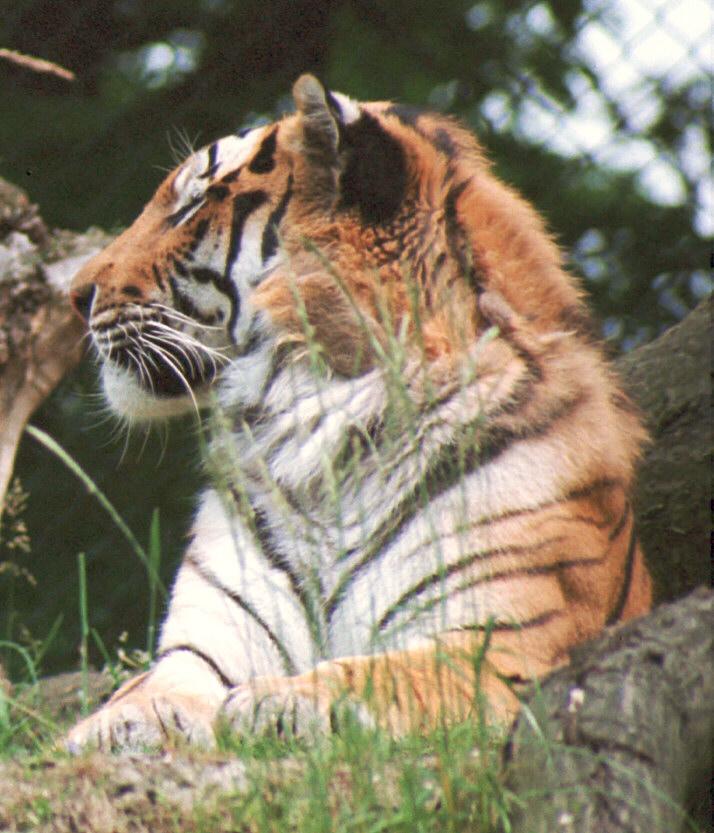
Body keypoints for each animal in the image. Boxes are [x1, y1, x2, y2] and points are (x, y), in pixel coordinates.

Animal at [67, 75, 652, 752]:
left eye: (193, 205)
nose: (74, 295)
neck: (314, 428)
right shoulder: (206, 640)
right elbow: (157, 682)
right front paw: (117, 723)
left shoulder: (502, 648)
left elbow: (380, 673)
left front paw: (284, 699)